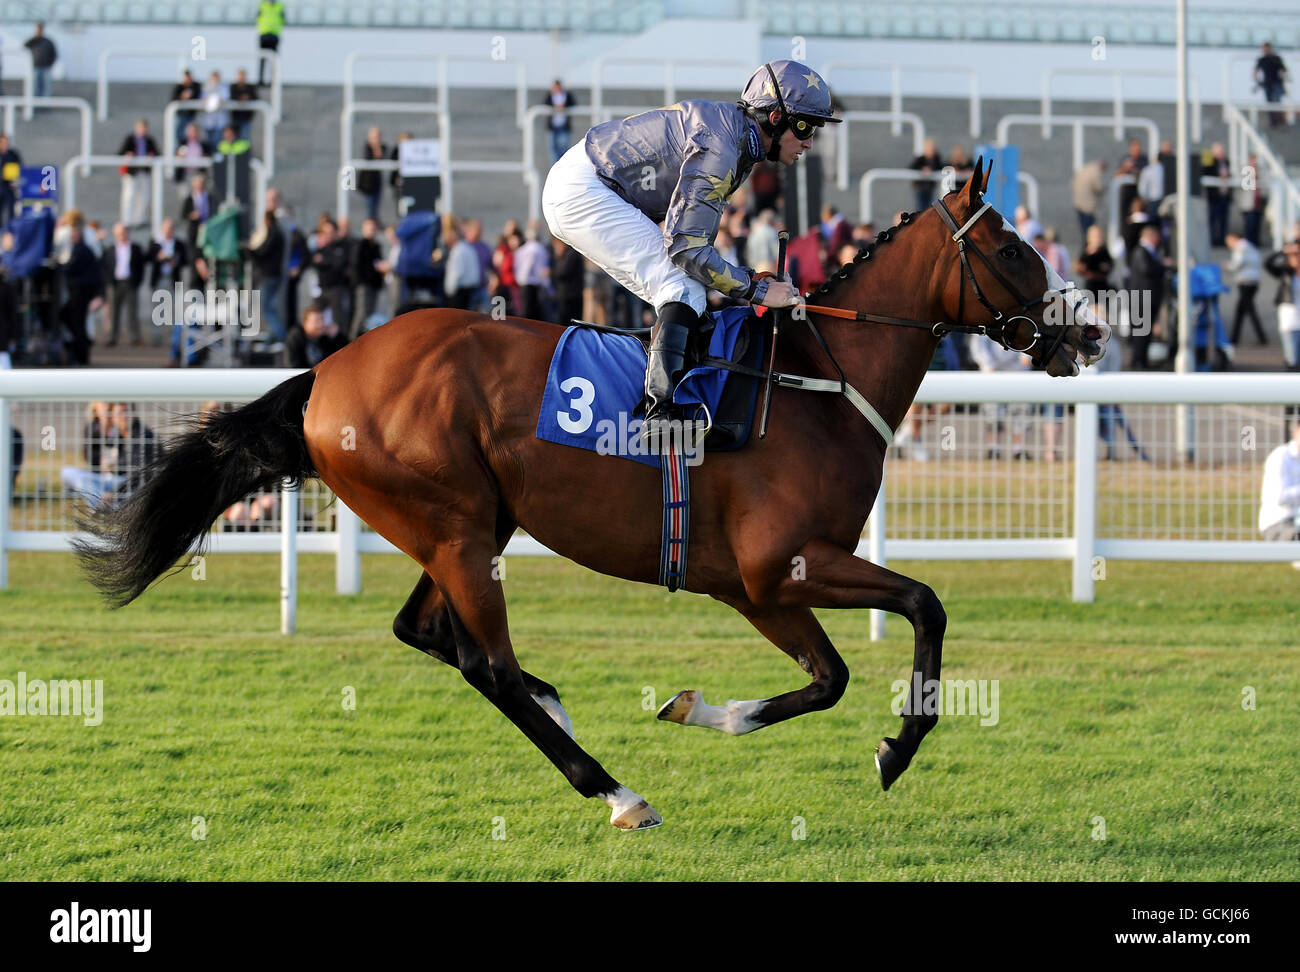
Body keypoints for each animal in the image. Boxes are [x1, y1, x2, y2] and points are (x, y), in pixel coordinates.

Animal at [73, 157, 1107, 826]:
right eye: (1013, 249)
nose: (1090, 332)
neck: (817, 379)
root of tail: (329, 370)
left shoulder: (765, 584)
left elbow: (838, 670)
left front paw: (705, 709)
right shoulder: (779, 569)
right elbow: (915, 613)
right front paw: (892, 749)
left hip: (464, 523)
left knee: (431, 633)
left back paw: (563, 707)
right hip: (452, 525)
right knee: (483, 660)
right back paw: (615, 789)